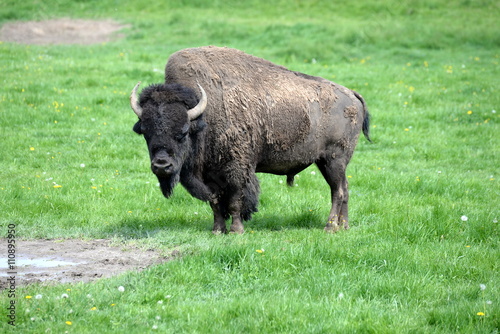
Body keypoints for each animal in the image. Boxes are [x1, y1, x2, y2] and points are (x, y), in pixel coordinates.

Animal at [131, 45, 370, 234]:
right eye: (146, 132)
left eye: (182, 132)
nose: (162, 165)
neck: (205, 115)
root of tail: (352, 94)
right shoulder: (210, 174)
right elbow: (215, 202)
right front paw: (217, 230)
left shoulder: (237, 169)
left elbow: (235, 201)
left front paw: (237, 230)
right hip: (327, 162)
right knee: (344, 188)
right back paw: (343, 226)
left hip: (333, 159)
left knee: (338, 191)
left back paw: (329, 227)